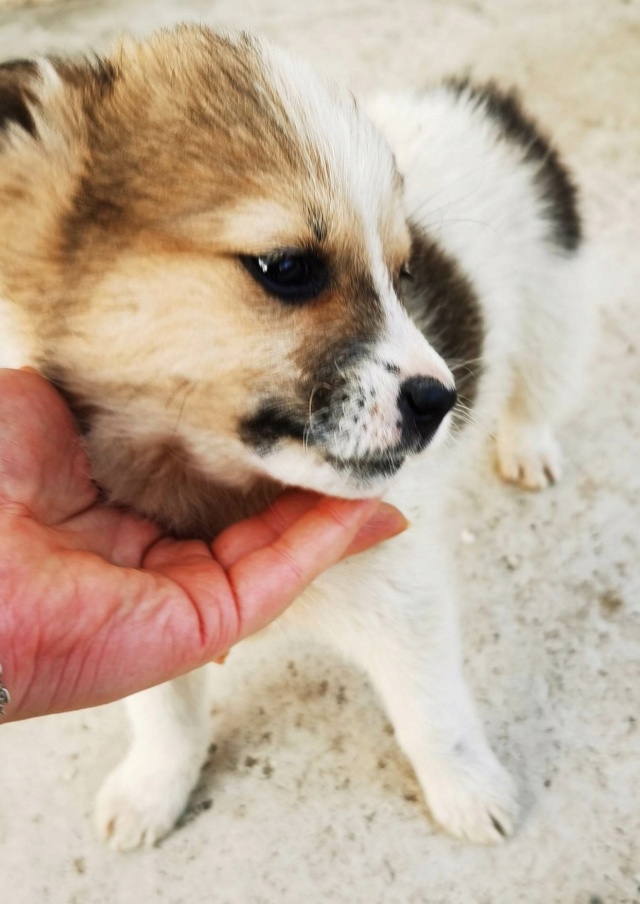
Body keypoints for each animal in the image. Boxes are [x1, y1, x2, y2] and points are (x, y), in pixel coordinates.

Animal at [0, 26, 592, 848]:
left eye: (405, 276)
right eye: (287, 268)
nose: (442, 400)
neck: (212, 487)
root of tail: (482, 99)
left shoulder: (405, 598)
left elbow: (434, 715)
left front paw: (468, 791)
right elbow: (165, 715)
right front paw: (153, 789)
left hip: (553, 309)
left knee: (539, 388)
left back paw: (527, 448)